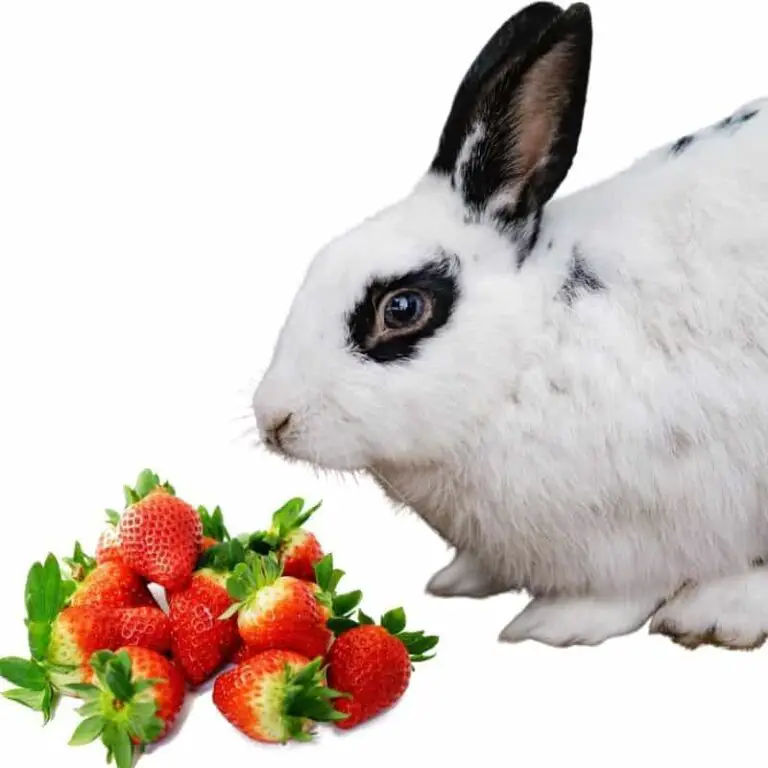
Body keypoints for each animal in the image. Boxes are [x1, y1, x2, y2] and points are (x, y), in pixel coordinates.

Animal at [251, 0, 768, 650]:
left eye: (402, 308)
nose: (273, 420)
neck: (533, 349)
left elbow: (624, 591)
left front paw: (553, 624)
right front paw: (460, 580)